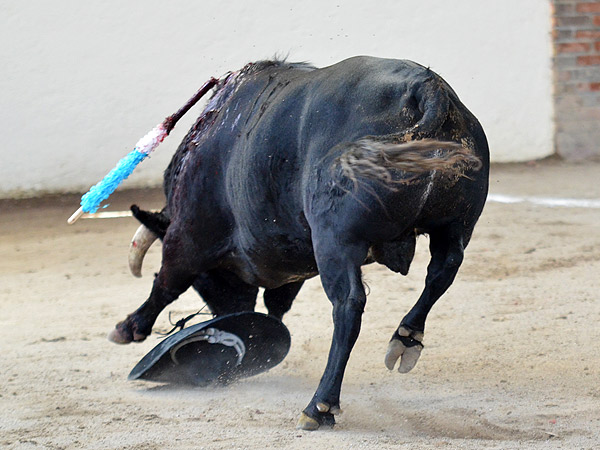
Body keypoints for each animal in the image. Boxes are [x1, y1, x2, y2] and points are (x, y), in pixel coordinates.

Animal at [110, 55, 490, 428]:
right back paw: (405, 338)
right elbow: (277, 306)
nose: (231, 316)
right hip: (455, 226)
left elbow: (167, 281)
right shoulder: (290, 260)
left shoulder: (189, 233)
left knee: (349, 305)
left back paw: (320, 405)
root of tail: (427, 90)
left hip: (336, 241)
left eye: (208, 282)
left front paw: (128, 327)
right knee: (442, 271)